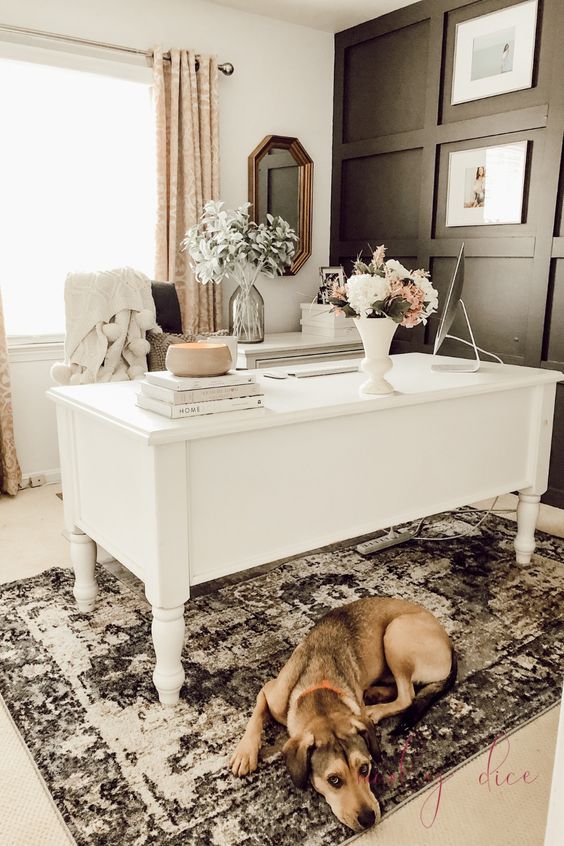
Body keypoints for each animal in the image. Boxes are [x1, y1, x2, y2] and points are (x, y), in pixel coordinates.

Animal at [231, 600, 456, 832]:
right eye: (334, 780)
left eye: (364, 769)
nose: (368, 819)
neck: (319, 690)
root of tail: (449, 644)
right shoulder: (269, 691)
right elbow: (256, 715)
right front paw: (245, 752)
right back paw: (375, 693)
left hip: (395, 632)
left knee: (407, 696)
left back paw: (376, 708)